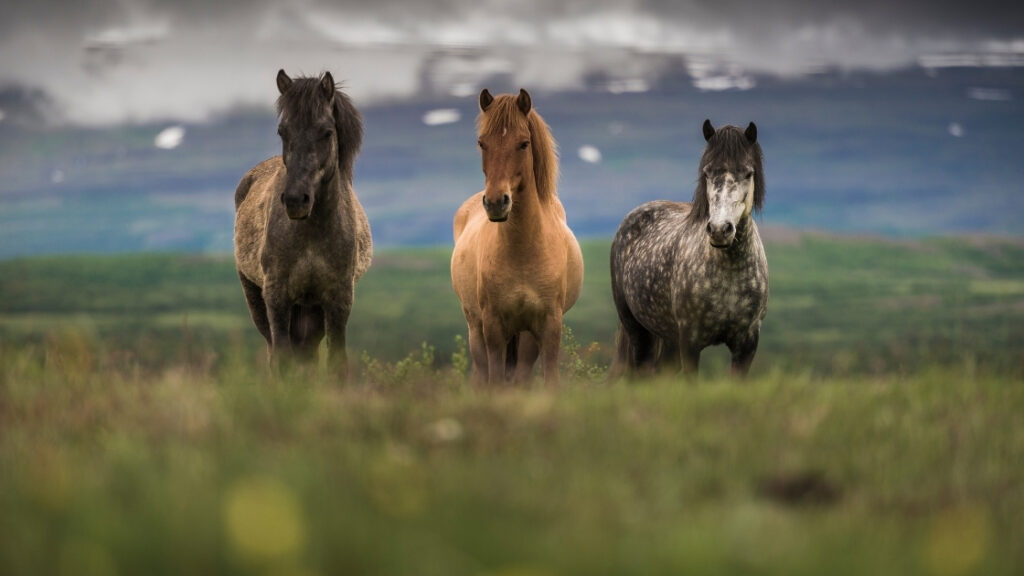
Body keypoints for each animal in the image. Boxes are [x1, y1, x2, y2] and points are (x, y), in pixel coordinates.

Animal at [234, 69, 372, 375]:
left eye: (327, 132)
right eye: (282, 131)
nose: (296, 199)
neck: (312, 234)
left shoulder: (338, 300)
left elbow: (336, 362)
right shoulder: (277, 298)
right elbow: (282, 360)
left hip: (312, 311)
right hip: (257, 299)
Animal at [606, 118, 770, 377]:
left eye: (748, 173)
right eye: (707, 172)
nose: (720, 229)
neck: (729, 272)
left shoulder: (747, 343)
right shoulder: (690, 342)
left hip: (667, 338)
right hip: (638, 330)